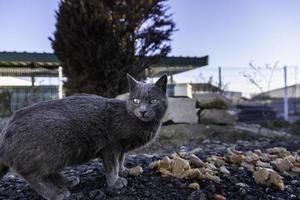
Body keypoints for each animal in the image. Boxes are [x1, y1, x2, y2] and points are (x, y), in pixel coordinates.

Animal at [0, 74, 168, 200]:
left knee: (49, 173)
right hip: (49, 152)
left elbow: (121, 160)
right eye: (136, 101)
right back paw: (56, 193)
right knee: (34, 176)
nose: (143, 111)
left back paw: (68, 181)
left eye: (153, 101)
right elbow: (112, 166)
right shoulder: (111, 147)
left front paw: (123, 170)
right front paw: (115, 182)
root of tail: (6, 129)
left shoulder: (121, 148)